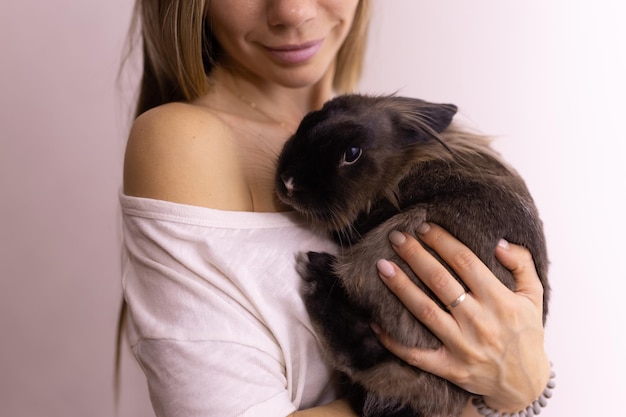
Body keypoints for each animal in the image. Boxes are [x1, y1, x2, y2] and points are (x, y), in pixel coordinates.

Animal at [272, 93, 544, 416]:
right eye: (310, 118)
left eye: (352, 153)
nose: (289, 183)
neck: (400, 165)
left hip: (384, 251)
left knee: (371, 358)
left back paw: (316, 272)